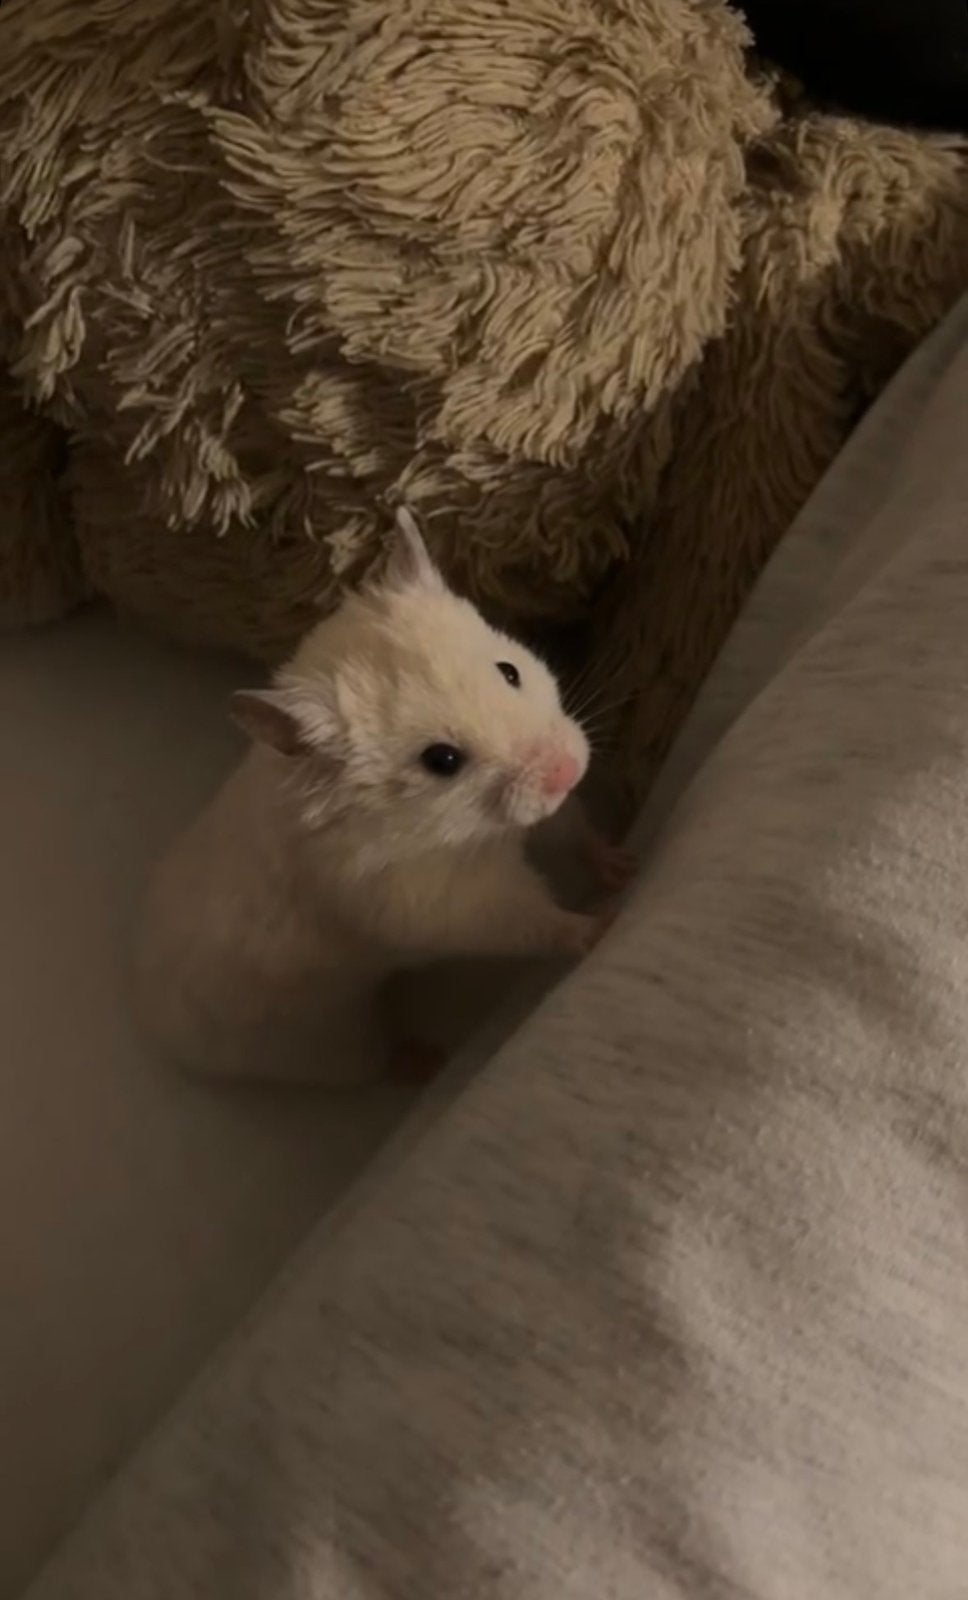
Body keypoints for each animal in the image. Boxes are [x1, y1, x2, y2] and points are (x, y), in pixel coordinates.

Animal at [135, 508, 631, 1086]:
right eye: (442, 760)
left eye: (509, 670)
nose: (568, 770)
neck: (473, 829)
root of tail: (146, 1012)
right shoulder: (443, 902)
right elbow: (535, 921)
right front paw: (601, 927)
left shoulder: (541, 815)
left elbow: (574, 831)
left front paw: (622, 865)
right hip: (320, 1044)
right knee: (369, 1064)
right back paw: (425, 1061)